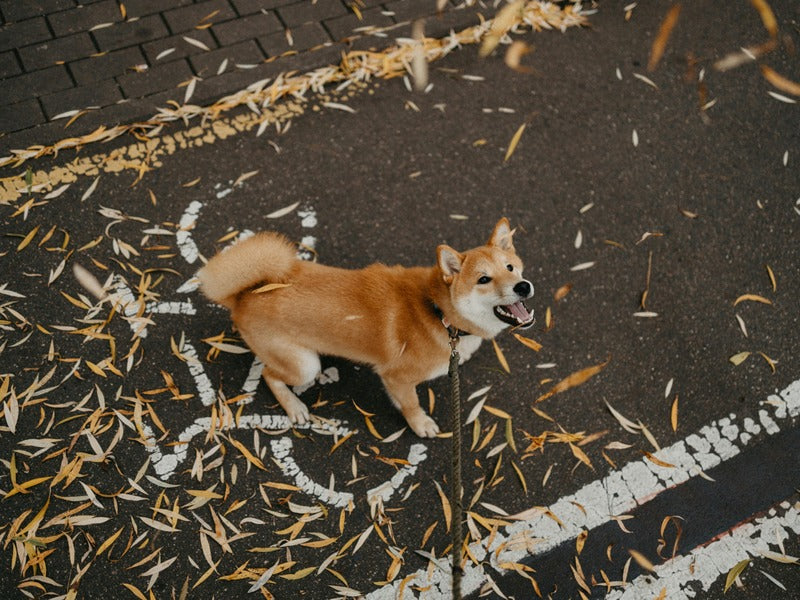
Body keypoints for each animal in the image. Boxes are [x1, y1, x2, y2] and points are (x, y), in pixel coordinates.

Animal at [198, 218, 536, 438]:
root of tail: (243, 296)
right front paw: (420, 424)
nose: (523, 286)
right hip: (303, 364)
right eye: (483, 279)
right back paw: (294, 406)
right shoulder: (397, 377)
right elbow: (411, 404)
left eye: (510, 267)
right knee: (270, 375)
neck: (439, 312)